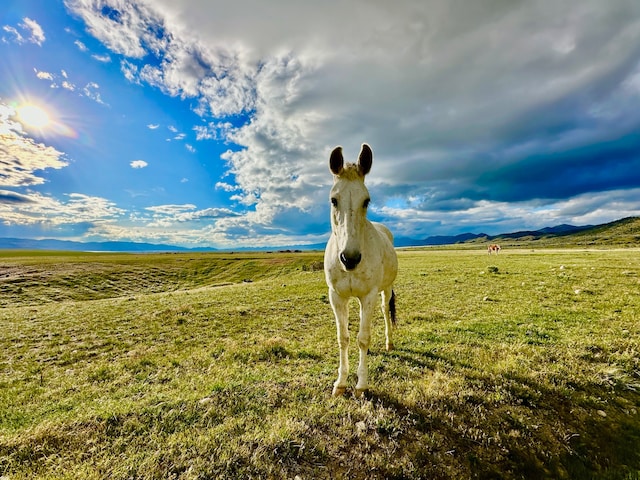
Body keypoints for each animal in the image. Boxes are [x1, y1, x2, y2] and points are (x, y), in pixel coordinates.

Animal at [322, 142, 398, 398]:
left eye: (366, 200)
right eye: (333, 200)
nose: (350, 259)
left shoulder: (369, 295)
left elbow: (363, 338)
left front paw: (362, 385)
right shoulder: (337, 296)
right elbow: (343, 338)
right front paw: (340, 383)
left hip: (385, 290)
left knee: (385, 312)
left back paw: (389, 343)